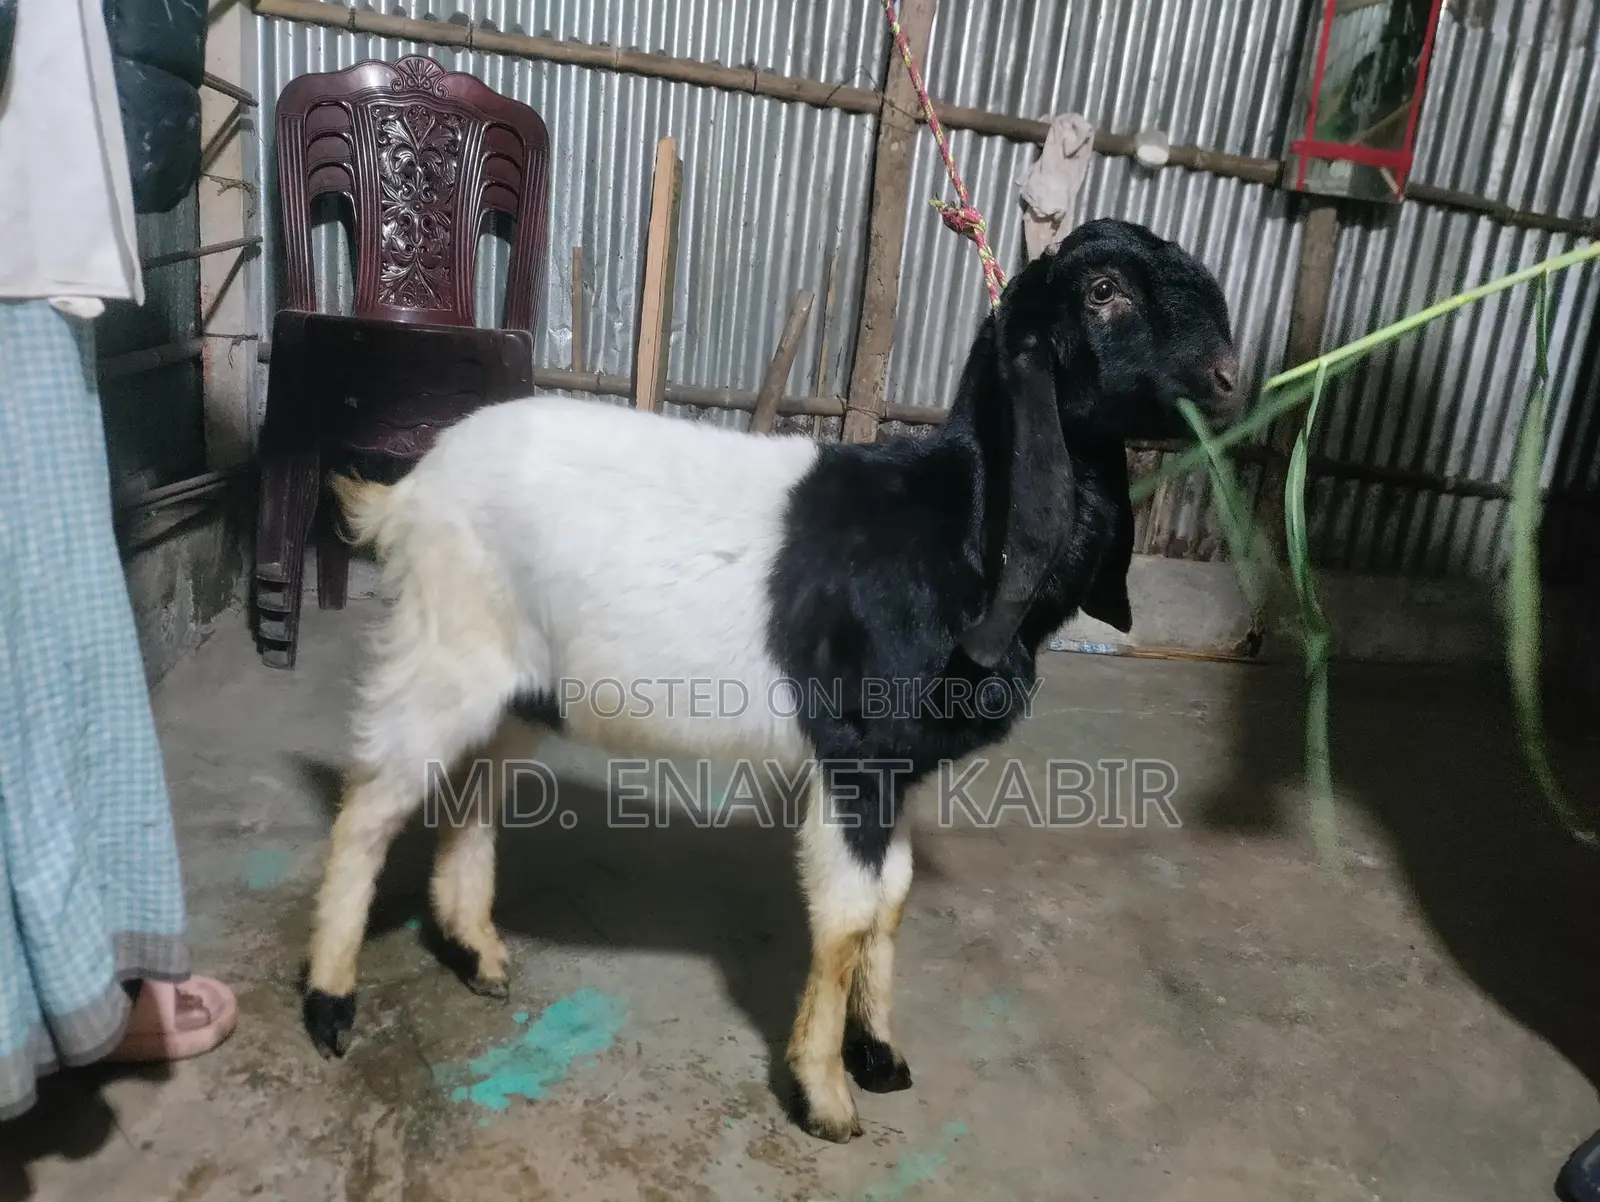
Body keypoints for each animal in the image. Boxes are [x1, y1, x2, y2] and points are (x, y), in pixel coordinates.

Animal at [301, 217, 1242, 1143]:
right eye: (1105, 291)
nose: (1230, 379)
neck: (956, 525)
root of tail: (406, 497)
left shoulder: (899, 770)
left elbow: (893, 903)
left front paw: (880, 1055)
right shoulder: (855, 759)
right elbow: (849, 918)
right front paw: (825, 1097)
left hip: (523, 690)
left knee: (472, 793)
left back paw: (478, 955)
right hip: (445, 653)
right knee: (371, 805)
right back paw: (330, 1004)